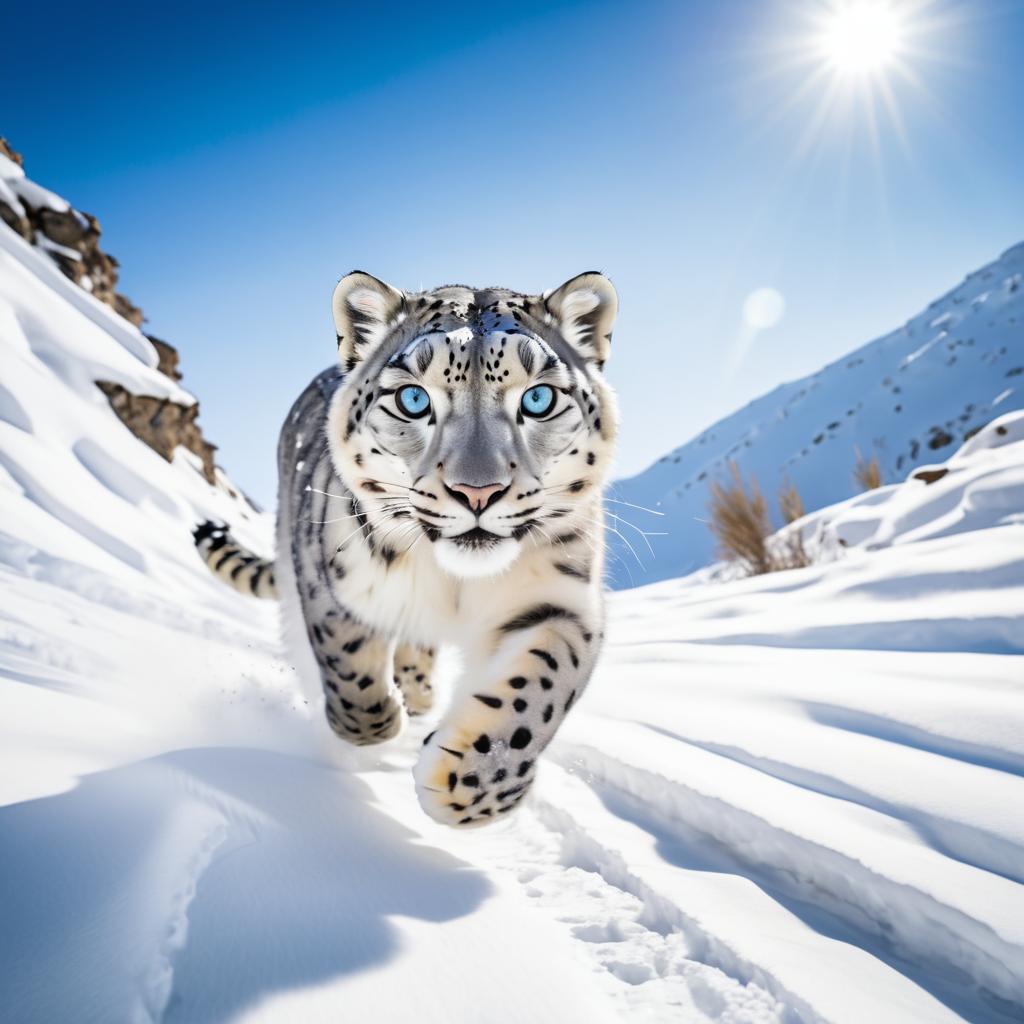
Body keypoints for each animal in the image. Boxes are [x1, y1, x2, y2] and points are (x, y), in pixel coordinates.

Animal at [195, 270, 618, 823]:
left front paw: (468, 780)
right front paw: (381, 726)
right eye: (413, 400)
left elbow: (539, 690)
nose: (476, 491)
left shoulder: (560, 599)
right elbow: (350, 673)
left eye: (538, 399)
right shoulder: (332, 582)